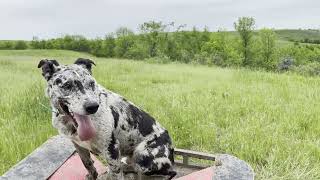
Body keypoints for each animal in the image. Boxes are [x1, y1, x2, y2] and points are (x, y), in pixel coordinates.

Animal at [39, 58, 178, 179]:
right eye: (67, 85)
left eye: (91, 83)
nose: (93, 106)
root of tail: (171, 149)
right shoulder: (79, 146)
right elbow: (88, 164)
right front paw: (92, 175)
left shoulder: (111, 150)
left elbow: (115, 174)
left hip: (142, 157)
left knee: (166, 172)